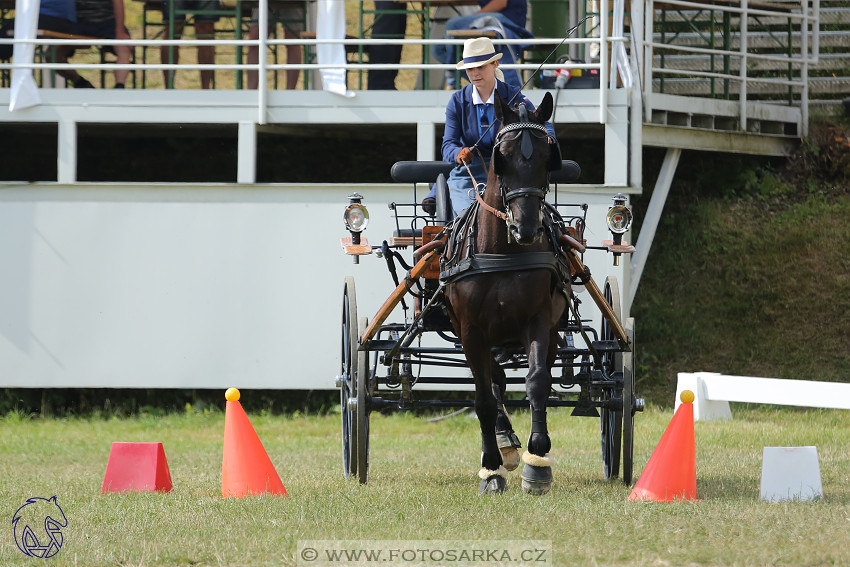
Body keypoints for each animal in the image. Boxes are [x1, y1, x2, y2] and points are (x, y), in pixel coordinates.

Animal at [440, 91, 568, 494]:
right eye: (504, 156)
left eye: (546, 157)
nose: (525, 227)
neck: (501, 252)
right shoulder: (470, 331)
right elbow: (482, 398)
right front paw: (491, 467)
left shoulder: (539, 320)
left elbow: (538, 382)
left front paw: (537, 460)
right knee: (493, 380)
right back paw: (503, 443)